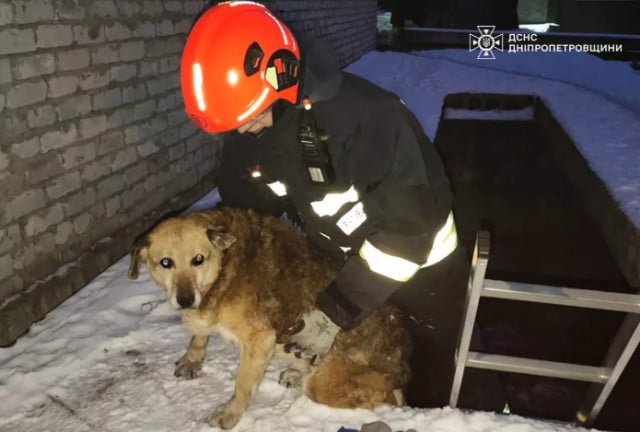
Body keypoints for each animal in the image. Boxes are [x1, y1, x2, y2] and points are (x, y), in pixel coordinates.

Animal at [127, 208, 412, 428]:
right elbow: (199, 334)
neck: (225, 267)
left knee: (381, 397)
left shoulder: (259, 341)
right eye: (166, 263)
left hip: (329, 383)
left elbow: (243, 386)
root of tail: (401, 369)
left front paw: (230, 414)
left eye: (198, 260)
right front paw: (193, 359)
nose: (185, 300)